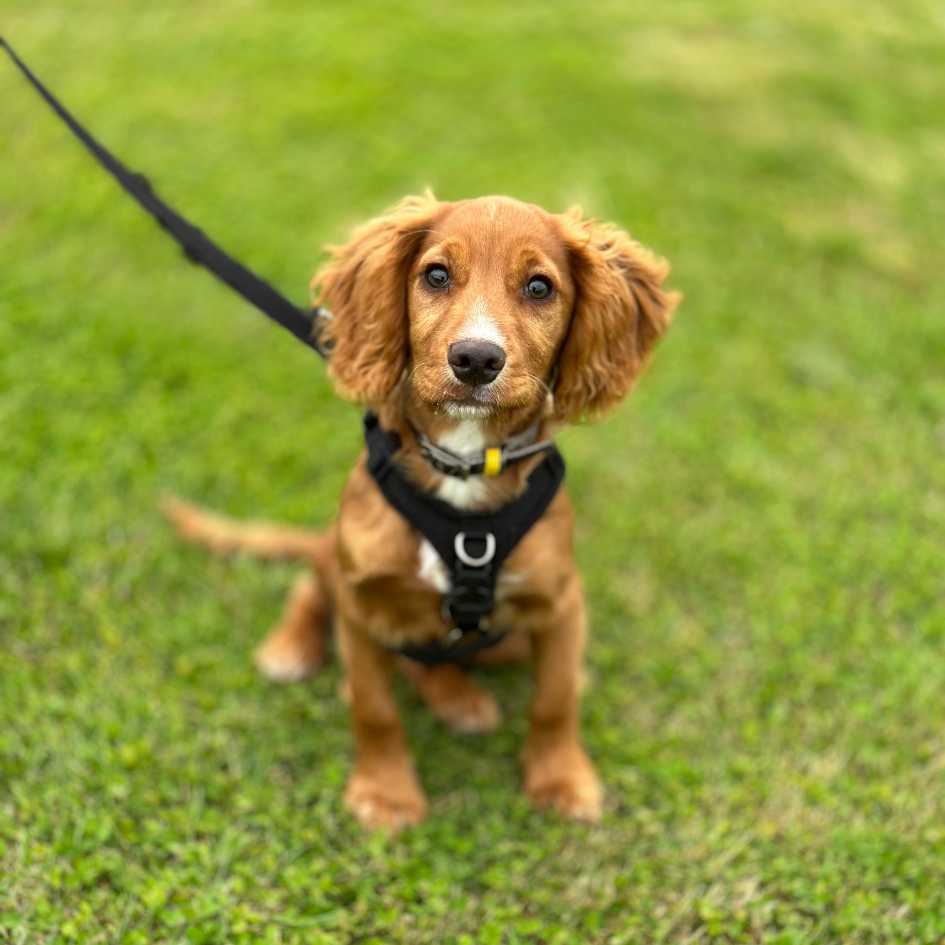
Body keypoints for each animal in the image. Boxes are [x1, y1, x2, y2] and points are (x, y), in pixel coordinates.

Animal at [164, 192, 680, 824]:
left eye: (540, 287)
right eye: (436, 275)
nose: (476, 359)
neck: (462, 466)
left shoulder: (561, 601)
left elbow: (556, 699)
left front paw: (562, 779)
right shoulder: (361, 603)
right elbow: (375, 708)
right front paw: (386, 793)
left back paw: (461, 701)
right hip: (340, 559)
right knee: (318, 584)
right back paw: (294, 648)